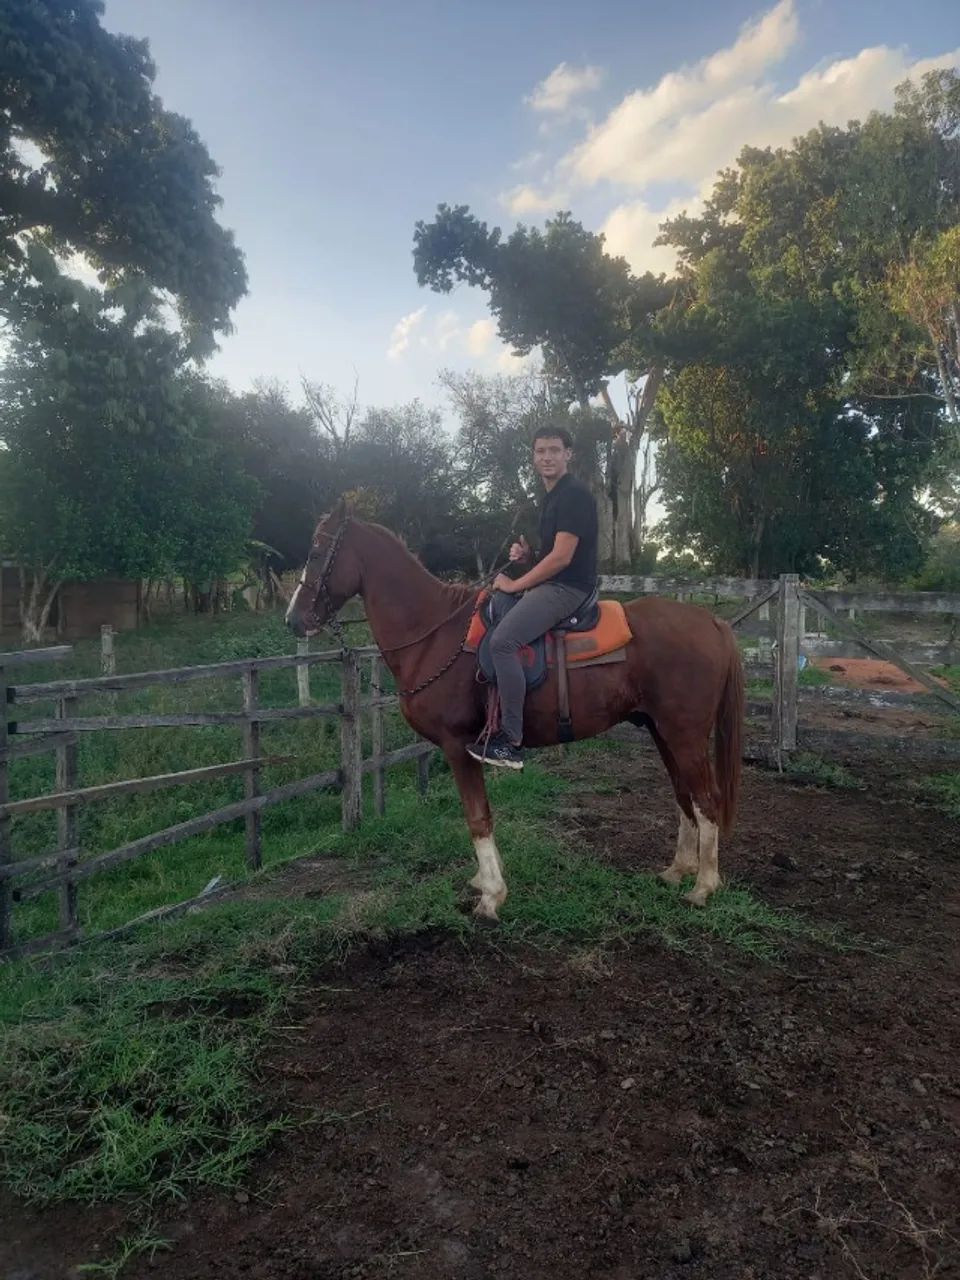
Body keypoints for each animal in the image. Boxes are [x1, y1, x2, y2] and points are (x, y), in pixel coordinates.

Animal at [286, 500, 744, 922]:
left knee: (706, 799)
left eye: (315, 551)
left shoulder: (458, 746)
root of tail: (713, 622)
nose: (293, 619)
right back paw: (679, 870)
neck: (434, 632)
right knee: (684, 795)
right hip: (661, 730)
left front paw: (491, 895)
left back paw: (704, 886)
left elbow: (477, 818)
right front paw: (485, 879)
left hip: (683, 734)